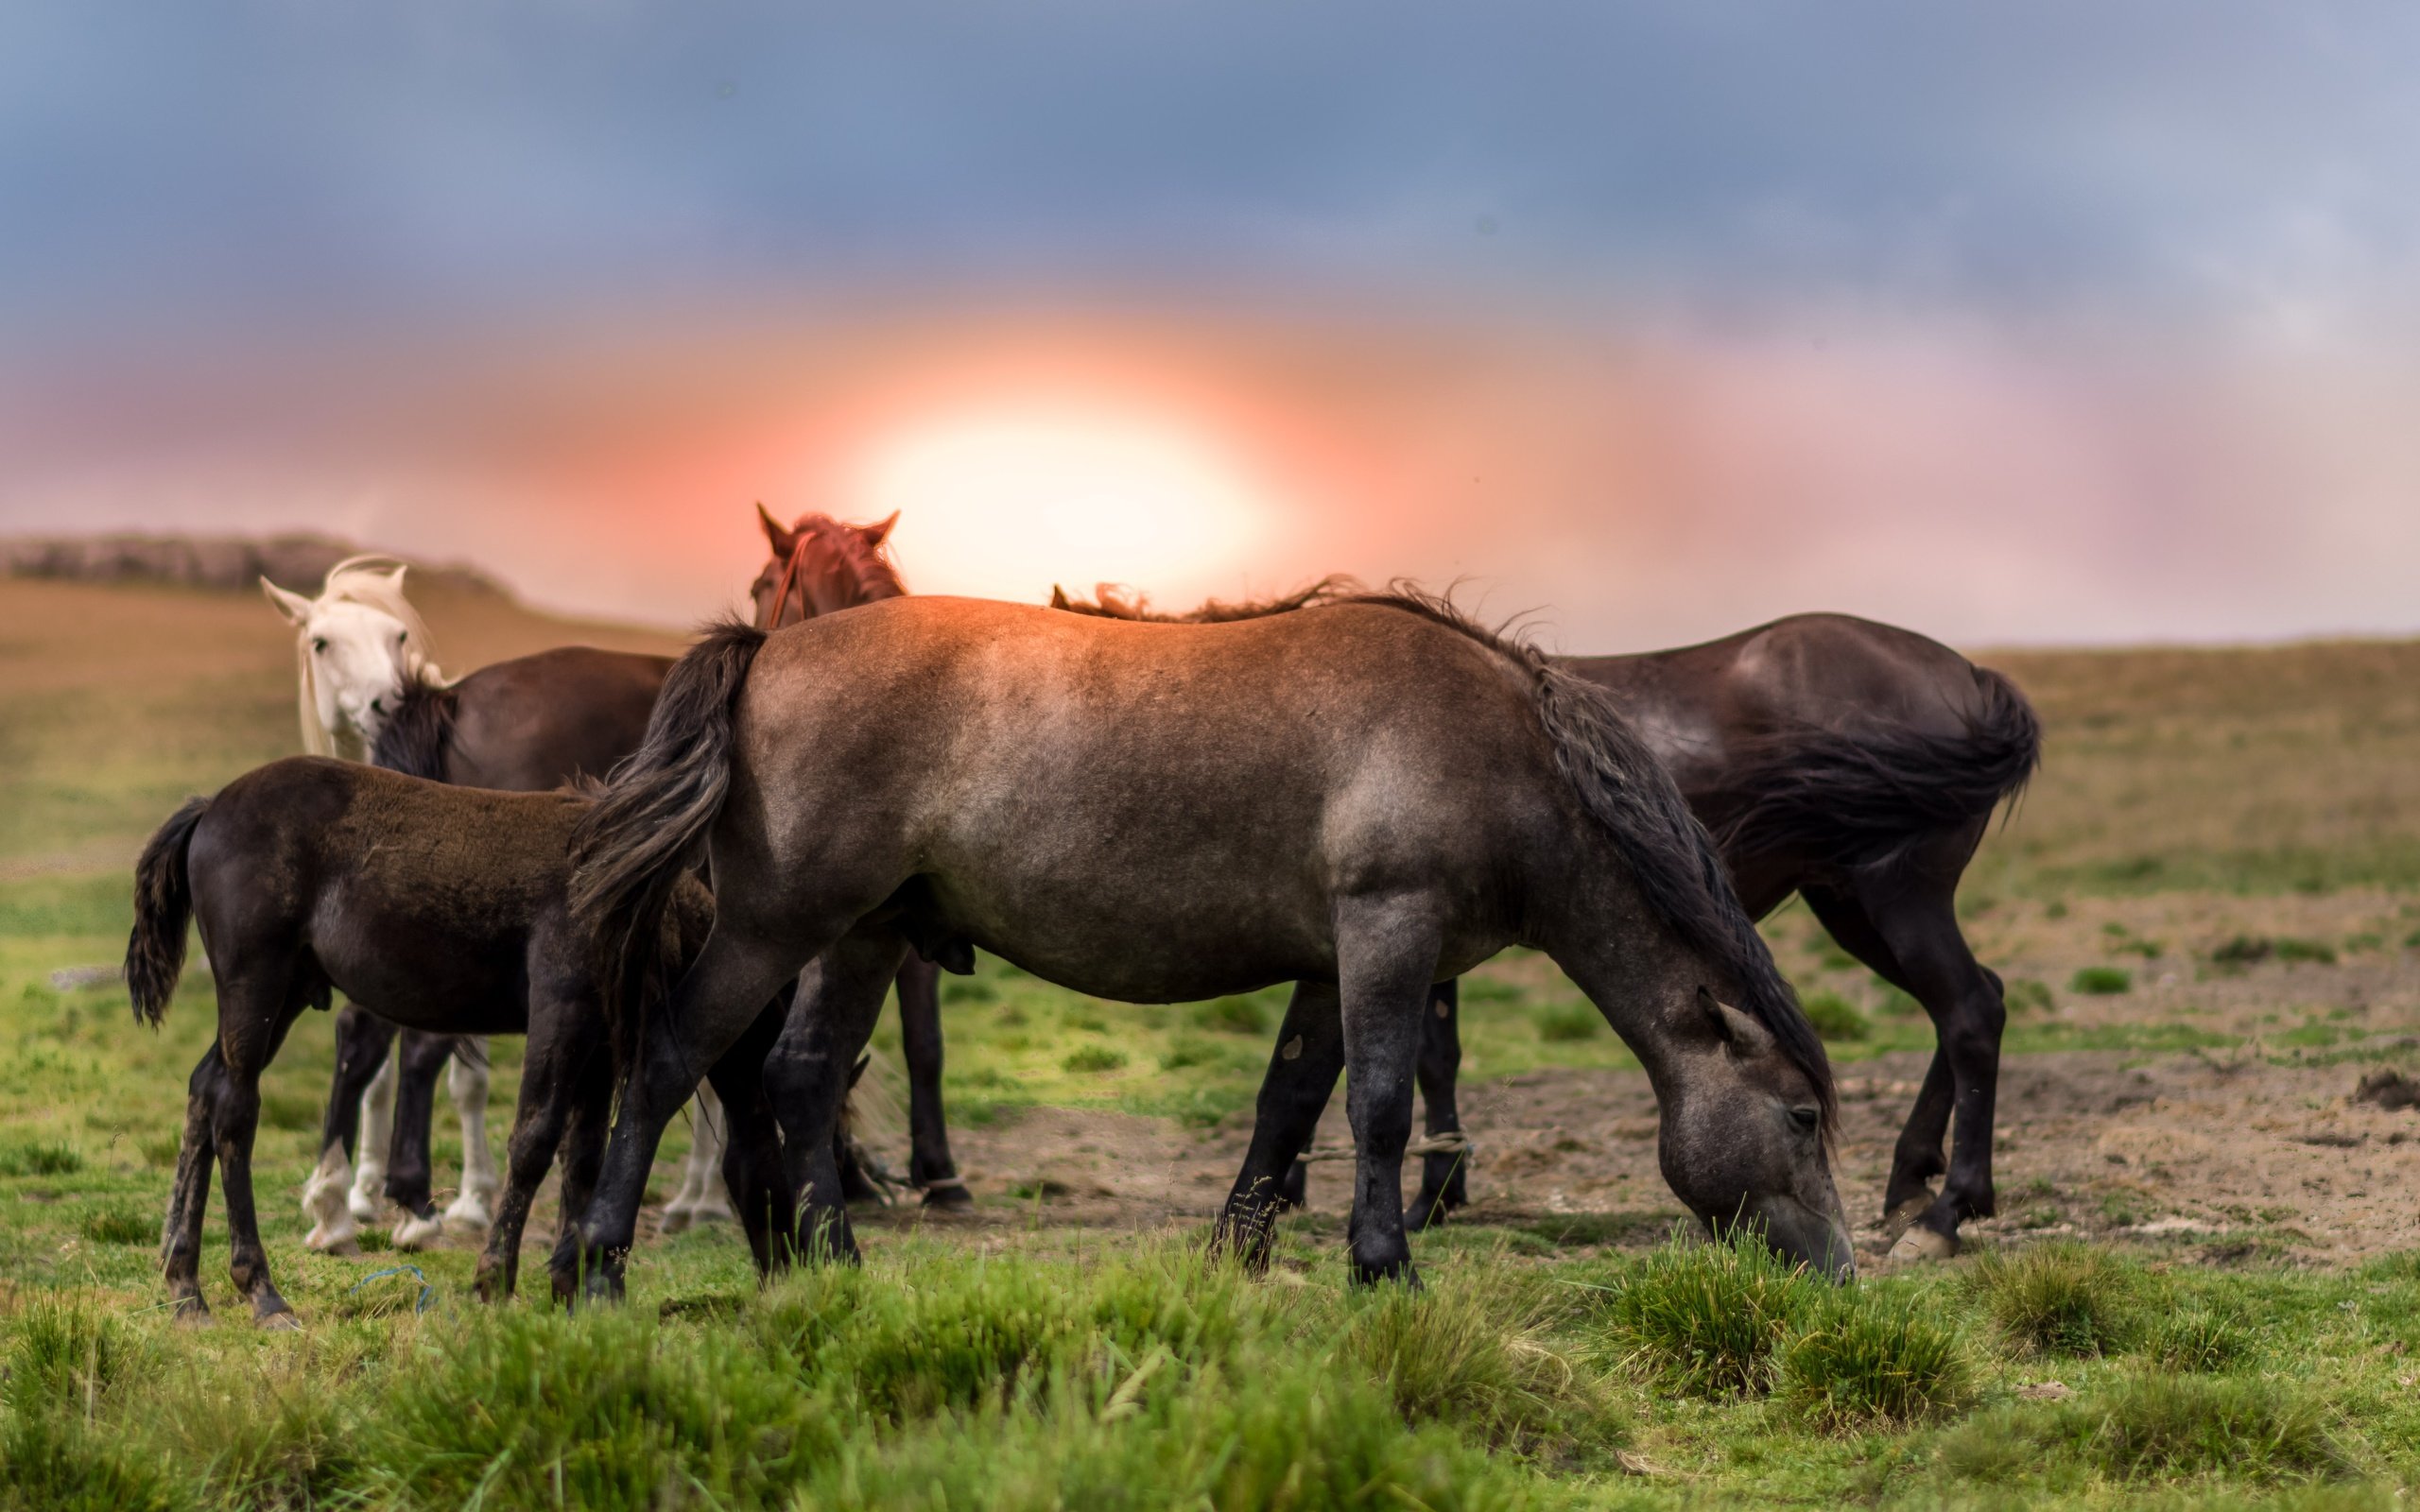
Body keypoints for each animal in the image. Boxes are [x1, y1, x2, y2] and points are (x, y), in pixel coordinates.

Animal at [125, 759, 793, 1315]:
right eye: (777, 1164)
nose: (795, 1275)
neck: (629, 899)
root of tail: (210, 807)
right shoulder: (561, 1010)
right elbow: (533, 1141)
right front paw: (495, 1280)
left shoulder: (602, 1040)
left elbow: (582, 1157)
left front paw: (574, 1285)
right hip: (255, 990)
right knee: (234, 1110)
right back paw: (260, 1290)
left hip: (283, 997)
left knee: (204, 1090)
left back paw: (185, 1285)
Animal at [556, 590, 1839, 1297]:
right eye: (1801, 1116)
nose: (1836, 1274)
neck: (1496, 750)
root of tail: (765, 649)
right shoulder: (1387, 929)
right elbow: (1379, 1106)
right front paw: (1387, 1267)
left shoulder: (1332, 962)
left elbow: (1291, 1105)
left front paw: (1243, 1257)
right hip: (775, 928)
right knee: (666, 1062)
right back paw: (596, 1269)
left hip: (863, 936)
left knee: (801, 1075)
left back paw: (835, 1263)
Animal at [1069, 588, 2032, 1247]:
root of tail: (1971, 676)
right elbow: (1428, 1055)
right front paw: (1430, 1188)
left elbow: (1420, 1060)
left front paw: (1426, 1196)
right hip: (1852, 906)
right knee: (1969, 1004)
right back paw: (1911, 1183)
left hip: (1891, 899)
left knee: (1968, 1010)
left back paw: (1949, 1208)